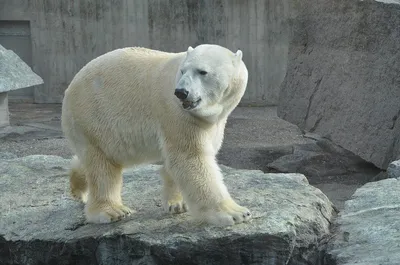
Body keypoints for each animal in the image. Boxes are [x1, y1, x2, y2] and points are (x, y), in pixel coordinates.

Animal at [61, 43, 252, 225]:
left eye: (202, 71)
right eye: (183, 71)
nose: (181, 92)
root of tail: (70, 86)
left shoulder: (210, 121)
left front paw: (177, 204)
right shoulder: (178, 114)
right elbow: (192, 158)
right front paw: (236, 213)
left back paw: (79, 188)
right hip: (93, 117)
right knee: (101, 166)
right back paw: (112, 211)